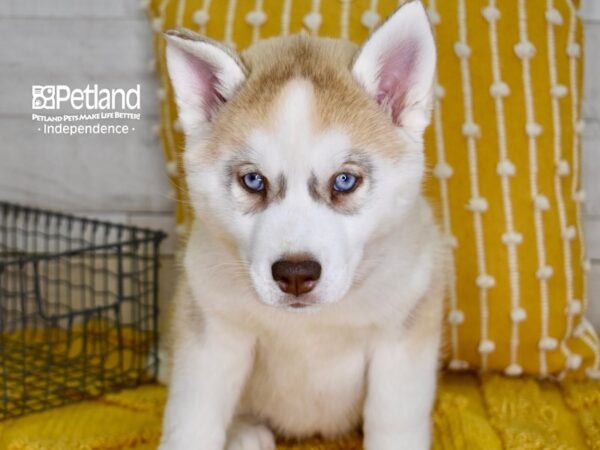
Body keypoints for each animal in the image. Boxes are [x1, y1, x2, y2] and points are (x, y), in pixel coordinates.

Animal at [161, 1, 446, 448]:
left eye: (344, 181)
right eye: (253, 180)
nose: (295, 275)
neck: (308, 325)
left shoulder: (403, 335)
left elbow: (394, 423)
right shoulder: (210, 335)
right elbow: (192, 421)